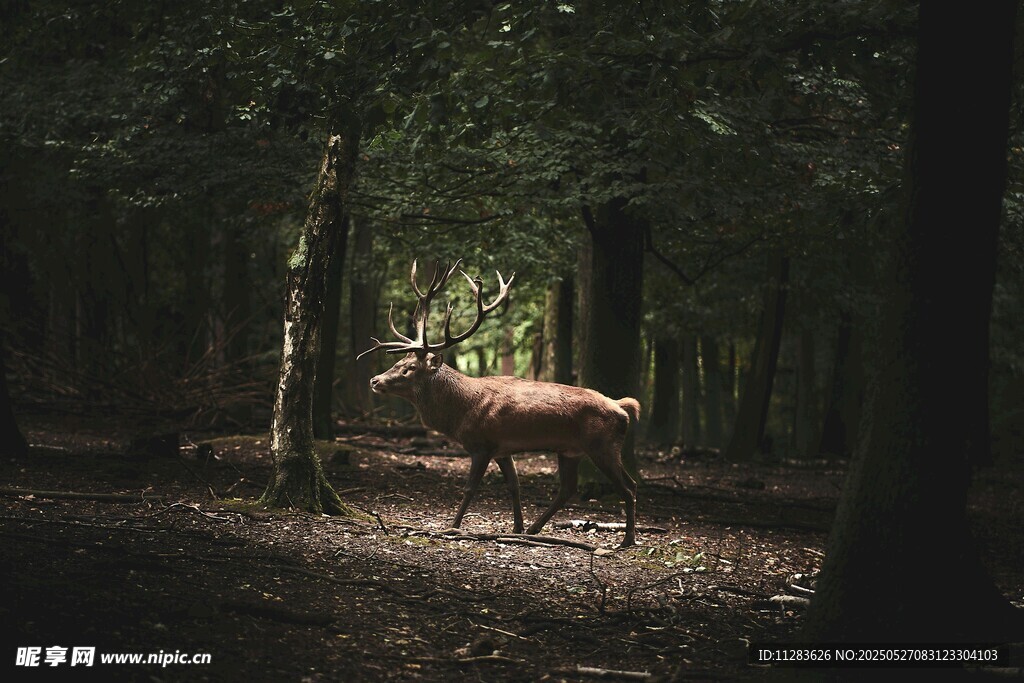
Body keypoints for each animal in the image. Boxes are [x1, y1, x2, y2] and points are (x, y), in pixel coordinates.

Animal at [357, 259, 640, 548]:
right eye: (398, 362)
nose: (374, 380)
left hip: (602, 445)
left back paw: (627, 539)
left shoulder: (482, 444)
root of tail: (623, 408)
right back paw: (534, 528)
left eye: (410, 368)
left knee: (628, 486)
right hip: (570, 450)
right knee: (568, 488)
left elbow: (470, 488)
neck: (460, 413)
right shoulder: (503, 449)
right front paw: (517, 526)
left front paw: (453, 526)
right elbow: (514, 485)